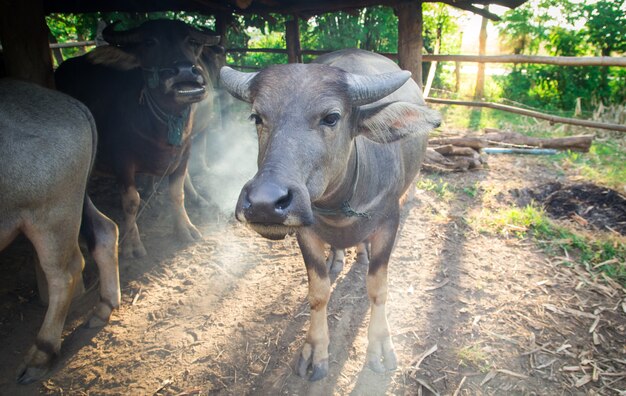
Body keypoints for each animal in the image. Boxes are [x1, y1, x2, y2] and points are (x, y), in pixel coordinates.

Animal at [0, 78, 120, 384]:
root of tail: (72, 105)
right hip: (77, 199)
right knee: (105, 232)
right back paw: (103, 307)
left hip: (51, 215)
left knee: (64, 273)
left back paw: (41, 354)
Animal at [54, 20, 219, 258]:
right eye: (150, 42)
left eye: (192, 41)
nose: (185, 71)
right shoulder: (122, 162)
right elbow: (131, 202)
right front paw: (132, 245)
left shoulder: (183, 153)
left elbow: (176, 193)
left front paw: (185, 229)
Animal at [219, 49, 438, 380]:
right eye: (258, 117)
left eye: (331, 117)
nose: (264, 203)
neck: (342, 202)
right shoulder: (306, 231)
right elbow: (318, 292)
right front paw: (315, 350)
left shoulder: (389, 222)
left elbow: (378, 288)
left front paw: (380, 346)